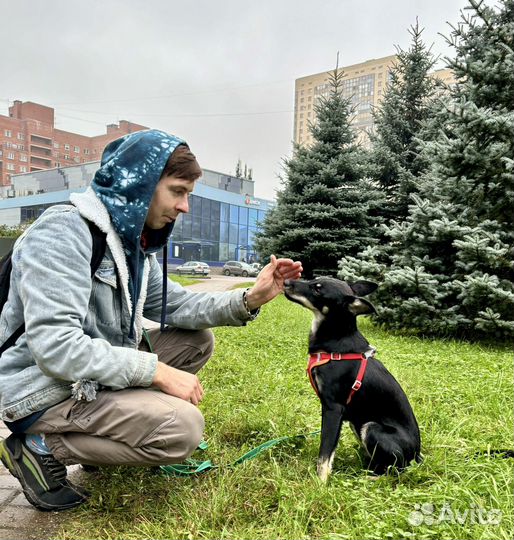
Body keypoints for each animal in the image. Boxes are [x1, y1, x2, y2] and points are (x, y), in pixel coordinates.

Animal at [282, 278, 418, 480]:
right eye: (313, 280)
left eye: (317, 289)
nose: (285, 281)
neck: (336, 346)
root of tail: (418, 457)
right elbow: (329, 451)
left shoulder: (333, 409)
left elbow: (324, 453)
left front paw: (320, 482)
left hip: (371, 428)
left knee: (396, 470)